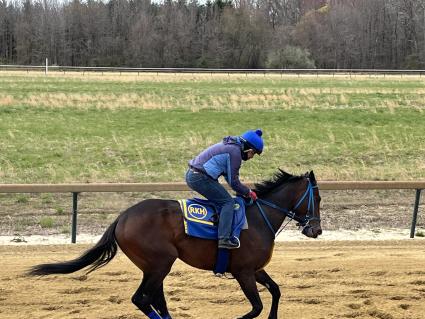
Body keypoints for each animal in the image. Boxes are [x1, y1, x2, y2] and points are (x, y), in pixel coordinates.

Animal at [29, 170, 322, 319]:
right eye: (317, 198)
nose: (316, 229)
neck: (259, 218)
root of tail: (122, 217)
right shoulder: (243, 272)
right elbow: (256, 307)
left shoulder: (256, 270)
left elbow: (276, 292)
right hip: (160, 263)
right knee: (142, 299)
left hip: (154, 267)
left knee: (154, 300)